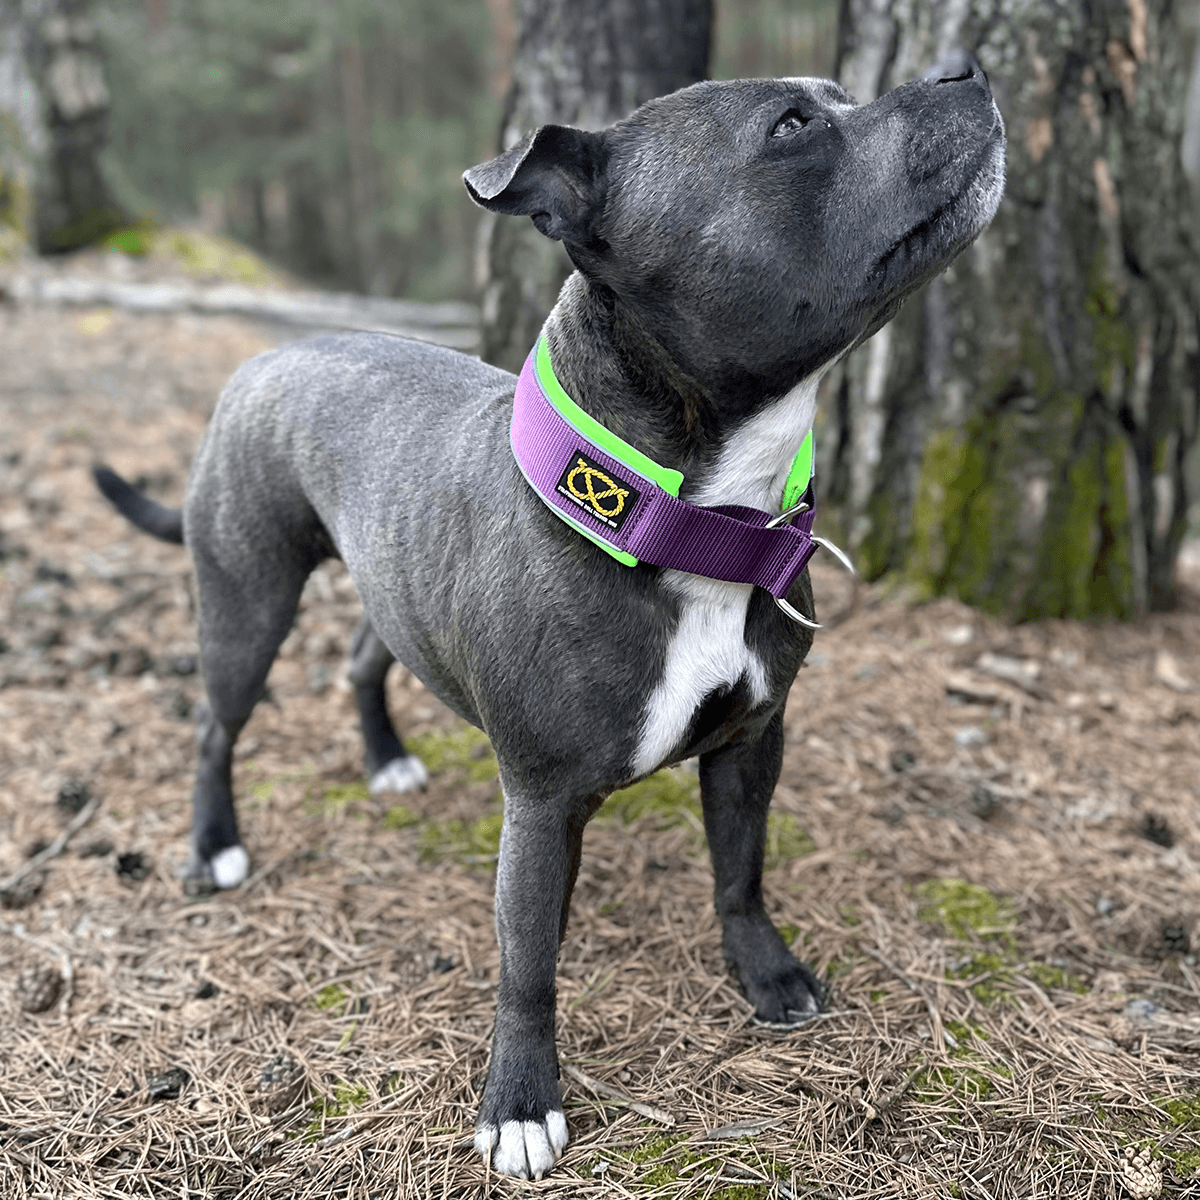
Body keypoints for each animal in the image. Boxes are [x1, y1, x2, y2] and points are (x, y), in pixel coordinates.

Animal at [93, 58, 1008, 1180]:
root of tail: (265, 358)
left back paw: (384, 758)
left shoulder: (753, 740)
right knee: (216, 725)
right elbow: (526, 961)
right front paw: (520, 1103)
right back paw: (215, 845)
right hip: (246, 599)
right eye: (792, 125)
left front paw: (766, 974)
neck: (684, 520)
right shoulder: (538, 807)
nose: (964, 67)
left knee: (362, 659)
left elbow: (740, 871)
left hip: (387, 582)